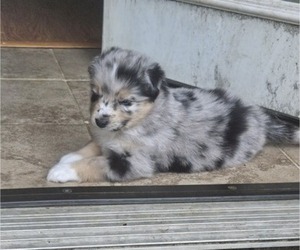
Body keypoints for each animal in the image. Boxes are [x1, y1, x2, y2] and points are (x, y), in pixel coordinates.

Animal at [46, 47, 298, 184]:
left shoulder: (136, 162)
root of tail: (259, 116)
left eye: (127, 102)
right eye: (95, 94)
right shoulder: (107, 136)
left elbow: (96, 163)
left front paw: (62, 170)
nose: (99, 120)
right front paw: (69, 157)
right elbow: (93, 145)